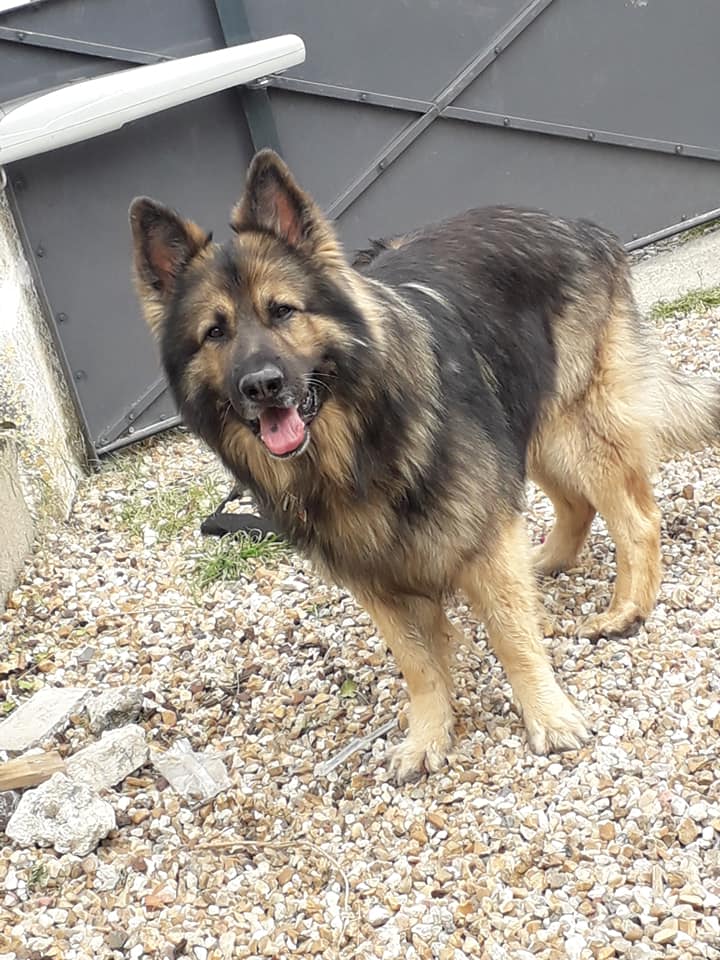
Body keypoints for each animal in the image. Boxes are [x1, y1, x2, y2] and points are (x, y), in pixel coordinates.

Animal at [129, 150, 720, 782]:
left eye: (282, 311)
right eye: (214, 332)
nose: (261, 387)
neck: (356, 448)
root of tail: (579, 226)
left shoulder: (482, 535)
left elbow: (513, 637)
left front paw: (548, 716)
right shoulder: (374, 577)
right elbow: (417, 662)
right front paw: (430, 734)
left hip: (572, 427)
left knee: (635, 519)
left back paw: (625, 610)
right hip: (523, 426)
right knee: (576, 504)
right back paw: (547, 562)